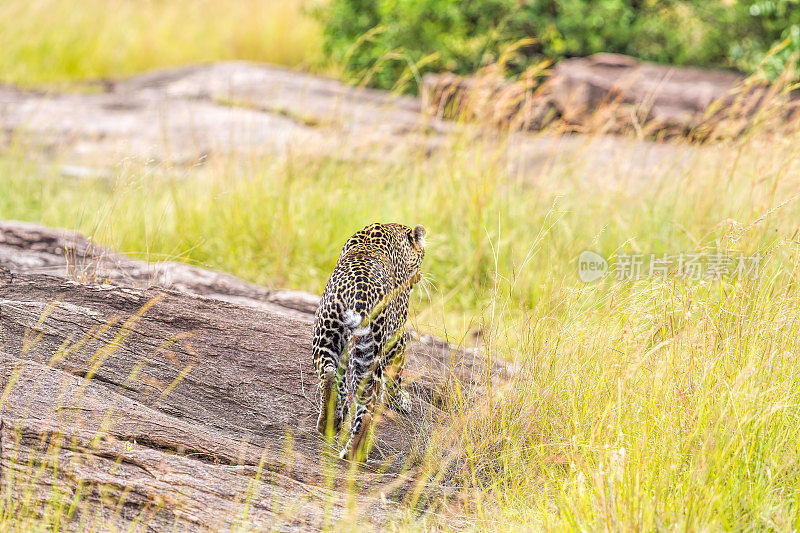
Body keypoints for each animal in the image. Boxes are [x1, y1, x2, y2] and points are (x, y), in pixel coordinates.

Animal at [310, 222, 424, 460]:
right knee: (369, 402)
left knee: (329, 374)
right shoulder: (397, 335)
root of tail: (356, 293)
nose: (419, 277)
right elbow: (396, 375)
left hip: (326, 334)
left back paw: (328, 423)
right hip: (372, 347)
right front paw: (401, 401)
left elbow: (342, 383)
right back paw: (355, 452)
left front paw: (340, 414)